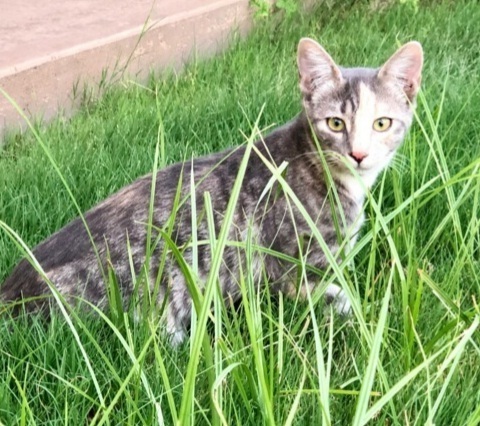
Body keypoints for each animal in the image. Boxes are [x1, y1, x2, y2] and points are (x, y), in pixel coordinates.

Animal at [0, 38, 422, 344]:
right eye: (335, 123)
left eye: (382, 123)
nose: (359, 154)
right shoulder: (295, 266)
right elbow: (333, 296)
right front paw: (367, 314)